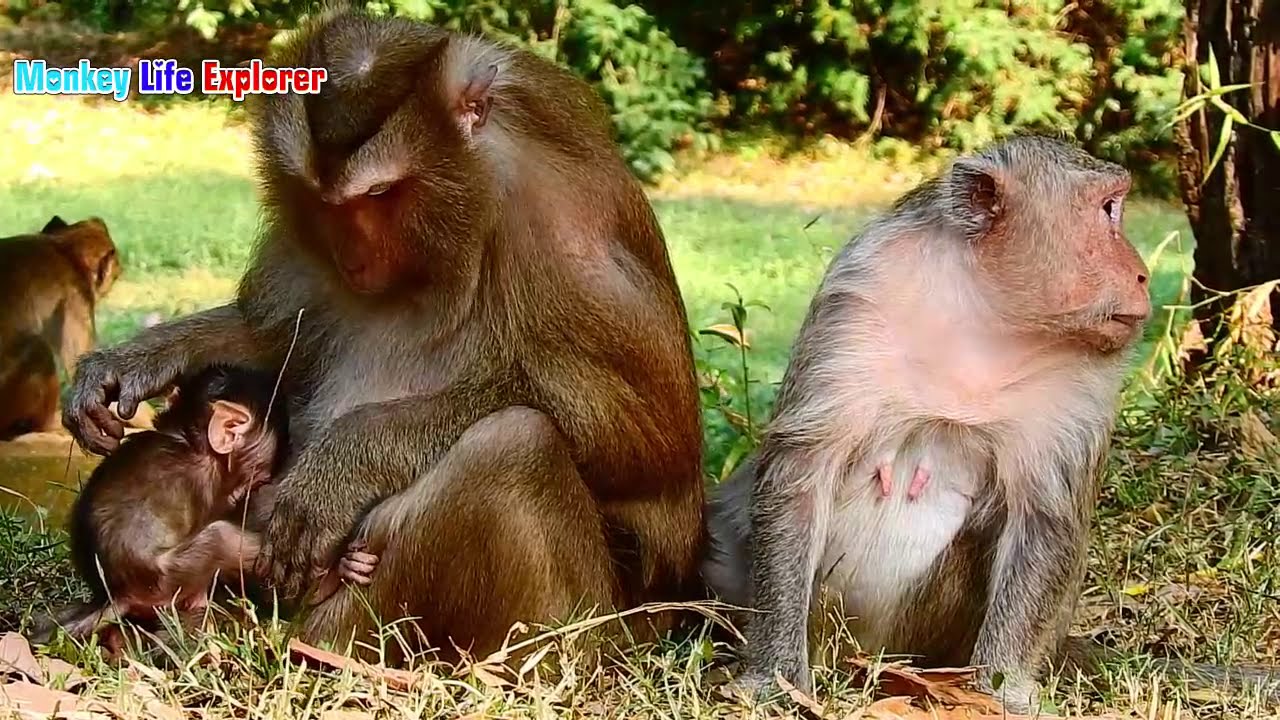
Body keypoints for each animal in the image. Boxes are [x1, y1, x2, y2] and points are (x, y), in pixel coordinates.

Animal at [38, 364, 377, 647]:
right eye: (259, 477)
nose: (261, 482)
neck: (188, 438)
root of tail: (116, 594)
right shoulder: (206, 481)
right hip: (165, 580)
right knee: (220, 538)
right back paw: (331, 578)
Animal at [702, 136, 1155, 713]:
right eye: (1108, 210)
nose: (1142, 274)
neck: (986, 314)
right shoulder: (859, 292)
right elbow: (802, 469)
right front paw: (775, 679)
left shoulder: (1087, 375)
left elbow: (1045, 515)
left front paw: (1002, 692)